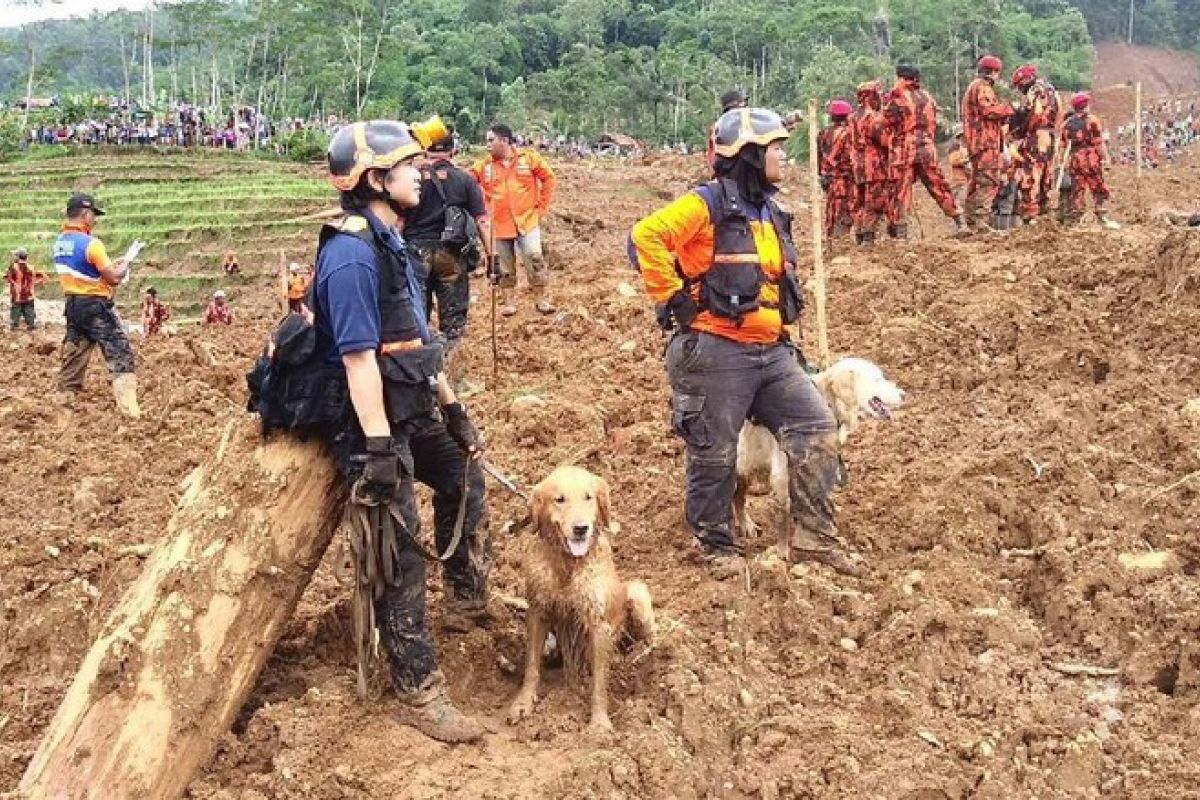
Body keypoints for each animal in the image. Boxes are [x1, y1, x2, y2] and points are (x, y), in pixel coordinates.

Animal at [729, 357, 902, 542]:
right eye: (877, 379)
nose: (903, 394)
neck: (827, 401)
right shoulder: (782, 472)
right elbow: (786, 515)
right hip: (741, 457)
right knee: (738, 495)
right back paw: (744, 526)